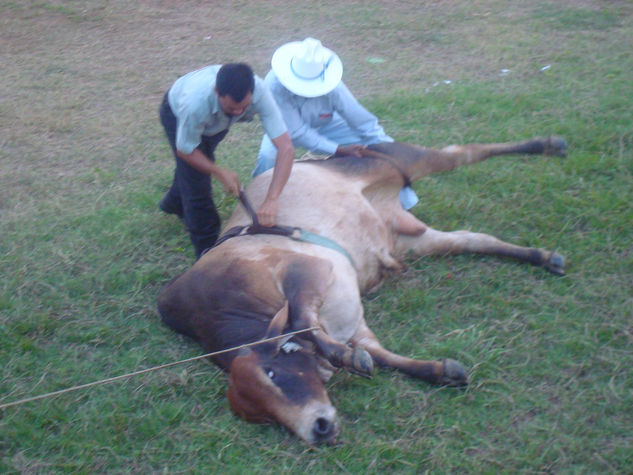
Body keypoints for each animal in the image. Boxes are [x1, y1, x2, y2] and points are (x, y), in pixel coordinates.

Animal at [159, 137, 568, 446]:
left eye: (271, 373)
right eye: (259, 415)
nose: (318, 428)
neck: (222, 306)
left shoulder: (304, 270)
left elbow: (303, 319)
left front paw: (346, 357)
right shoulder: (354, 324)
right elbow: (383, 356)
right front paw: (439, 370)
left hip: (393, 158)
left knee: (462, 151)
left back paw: (549, 145)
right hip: (414, 240)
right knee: (472, 239)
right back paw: (543, 256)